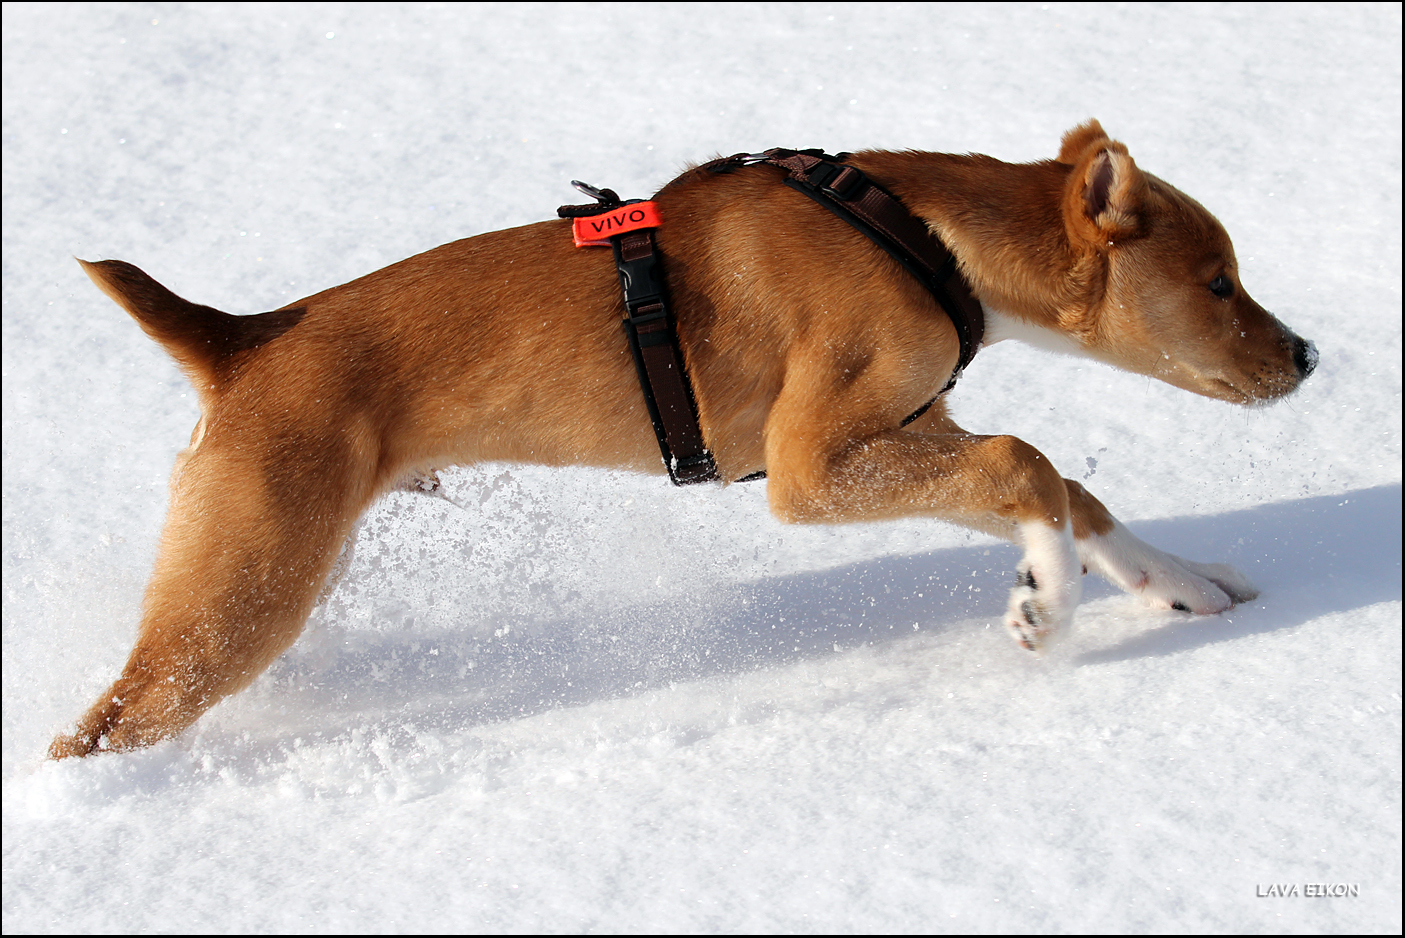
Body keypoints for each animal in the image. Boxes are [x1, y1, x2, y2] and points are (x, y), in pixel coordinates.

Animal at [46, 120, 1315, 758]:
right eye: (1216, 281)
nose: (1305, 356)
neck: (921, 237)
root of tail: (236, 340)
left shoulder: (903, 432)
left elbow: (1066, 492)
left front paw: (1177, 582)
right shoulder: (810, 467)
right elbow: (1028, 463)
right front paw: (1041, 607)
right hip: (240, 591)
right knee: (107, 725)